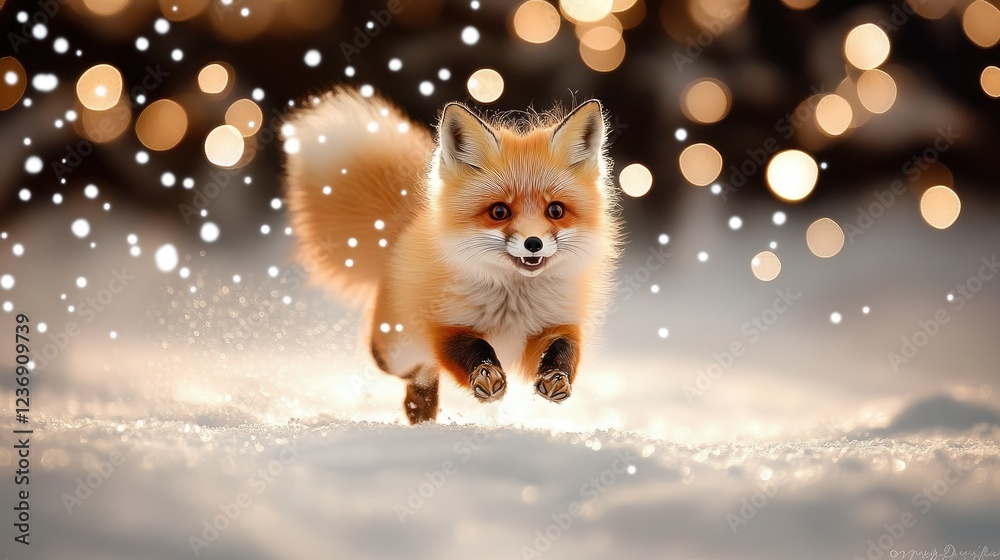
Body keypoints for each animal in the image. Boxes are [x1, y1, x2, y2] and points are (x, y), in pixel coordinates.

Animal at [283, 88, 621, 424]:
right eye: (499, 211)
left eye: (556, 210)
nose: (533, 243)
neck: (513, 302)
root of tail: (405, 223)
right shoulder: (446, 326)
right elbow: (472, 350)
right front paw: (486, 375)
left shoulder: (556, 324)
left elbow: (562, 352)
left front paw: (556, 378)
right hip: (396, 353)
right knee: (415, 373)